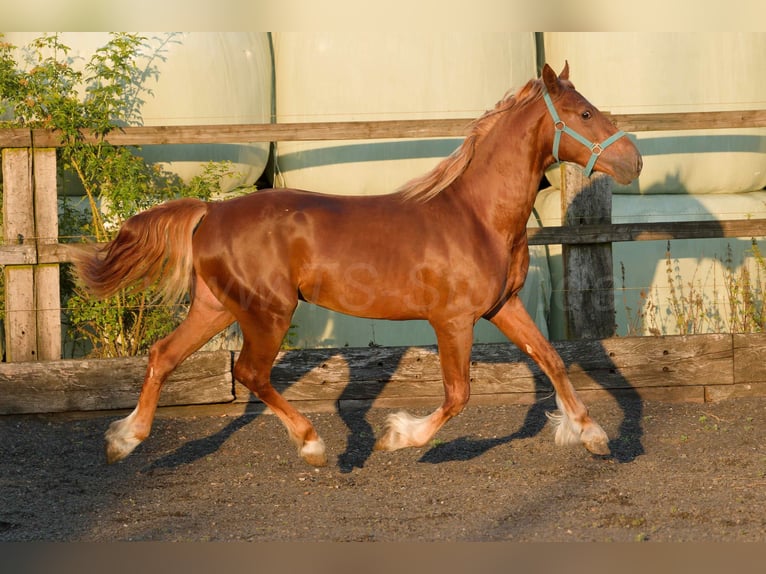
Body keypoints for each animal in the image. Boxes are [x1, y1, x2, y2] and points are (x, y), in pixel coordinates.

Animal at [73, 63, 642, 467]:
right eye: (585, 114)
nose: (634, 161)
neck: (477, 217)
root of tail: (210, 210)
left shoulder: (504, 306)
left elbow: (552, 360)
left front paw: (593, 436)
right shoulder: (452, 321)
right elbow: (459, 394)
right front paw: (399, 437)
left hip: (216, 307)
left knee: (163, 356)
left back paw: (123, 440)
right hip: (267, 312)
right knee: (249, 372)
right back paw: (312, 445)